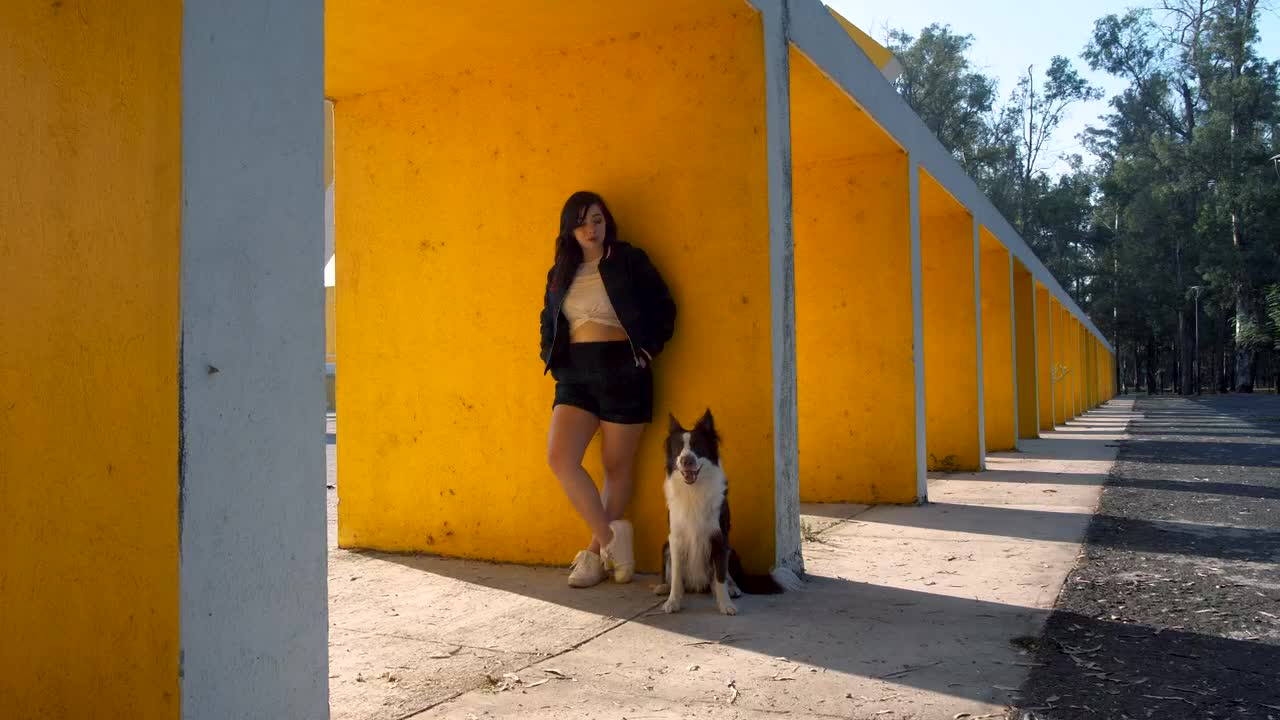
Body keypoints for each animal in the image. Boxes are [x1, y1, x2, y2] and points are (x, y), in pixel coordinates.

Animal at [660, 407, 798, 614]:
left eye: (698, 447)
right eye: (678, 449)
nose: (686, 460)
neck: (694, 490)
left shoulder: (720, 538)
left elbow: (720, 577)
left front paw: (725, 604)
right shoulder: (675, 538)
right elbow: (676, 576)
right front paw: (673, 601)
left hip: (731, 550)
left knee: (724, 577)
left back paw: (733, 589)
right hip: (665, 547)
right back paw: (662, 587)